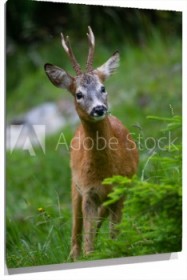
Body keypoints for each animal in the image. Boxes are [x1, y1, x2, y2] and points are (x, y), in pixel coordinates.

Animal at [43, 26, 137, 260]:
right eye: (78, 94)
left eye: (103, 88)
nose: (99, 109)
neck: (106, 172)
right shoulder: (87, 191)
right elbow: (88, 242)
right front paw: (91, 255)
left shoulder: (121, 189)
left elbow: (114, 234)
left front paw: (116, 251)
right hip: (74, 185)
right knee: (76, 230)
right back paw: (73, 256)